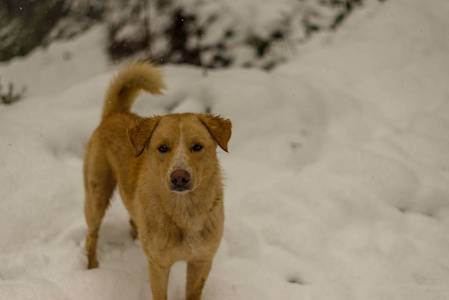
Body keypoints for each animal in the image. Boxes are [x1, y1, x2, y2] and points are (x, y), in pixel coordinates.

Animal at [82, 61, 233, 300]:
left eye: (197, 146)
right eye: (163, 148)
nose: (179, 177)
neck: (185, 212)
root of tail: (115, 113)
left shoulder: (202, 261)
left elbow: (193, 293)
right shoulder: (159, 266)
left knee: (131, 221)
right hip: (96, 196)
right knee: (91, 236)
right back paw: (92, 269)